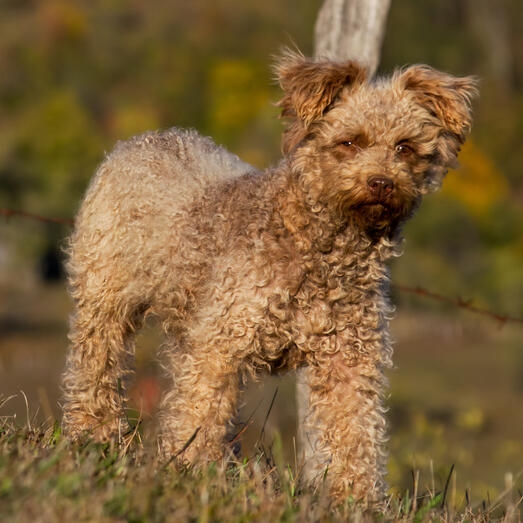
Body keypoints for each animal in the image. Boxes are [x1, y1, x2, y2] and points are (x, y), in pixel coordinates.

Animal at [62, 50, 478, 504]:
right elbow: (200, 411)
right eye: (349, 142)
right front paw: (191, 477)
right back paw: (93, 437)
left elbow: (357, 430)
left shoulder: (351, 357)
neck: (319, 249)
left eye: (405, 148)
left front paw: (357, 500)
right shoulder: (220, 344)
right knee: (95, 369)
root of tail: (143, 139)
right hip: (106, 300)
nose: (381, 183)